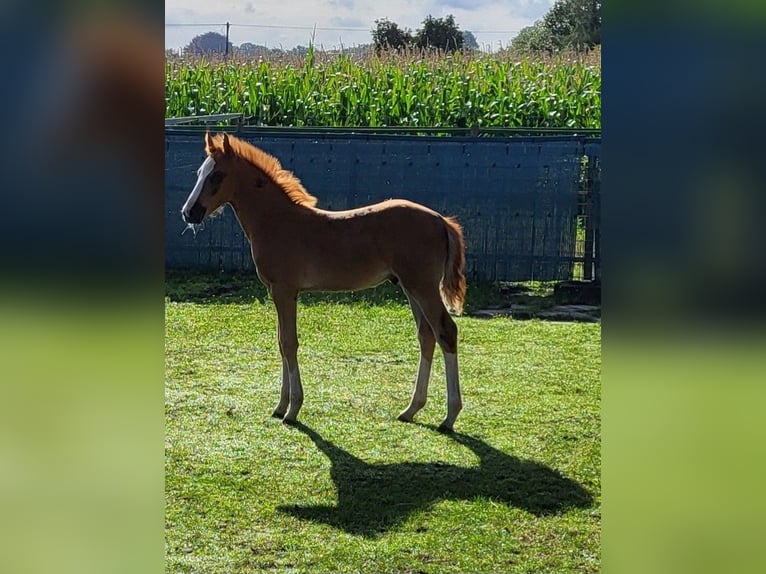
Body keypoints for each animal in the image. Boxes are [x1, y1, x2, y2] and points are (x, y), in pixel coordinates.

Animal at [182, 134, 468, 432]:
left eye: (217, 175)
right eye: (200, 173)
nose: (189, 213)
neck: (277, 221)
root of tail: (441, 220)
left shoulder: (285, 290)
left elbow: (289, 343)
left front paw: (292, 409)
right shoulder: (276, 292)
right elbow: (281, 343)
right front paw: (280, 405)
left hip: (423, 287)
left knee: (446, 332)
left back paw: (449, 416)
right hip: (410, 287)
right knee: (426, 335)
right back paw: (411, 409)